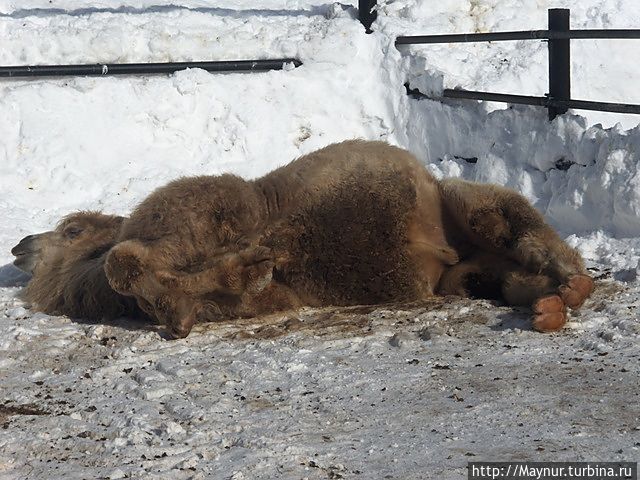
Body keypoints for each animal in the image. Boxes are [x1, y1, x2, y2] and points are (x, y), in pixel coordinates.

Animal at [11, 140, 594, 338]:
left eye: (71, 227)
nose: (19, 246)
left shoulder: (221, 206)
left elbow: (131, 262)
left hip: (460, 203)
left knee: (517, 229)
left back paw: (568, 288)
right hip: (462, 274)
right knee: (498, 274)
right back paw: (550, 305)